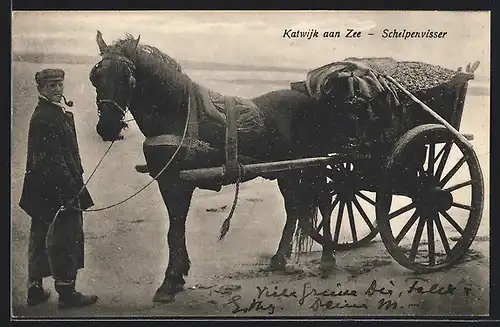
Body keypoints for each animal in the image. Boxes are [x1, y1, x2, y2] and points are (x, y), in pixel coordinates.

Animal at [90, 32, 340, 304]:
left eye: (128, 77)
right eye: (96, 76)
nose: (107, 127)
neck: (178, 114)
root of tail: (310, 100)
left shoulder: (177, 183)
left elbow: (175, 229)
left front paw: (170, 281)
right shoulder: (166, 182)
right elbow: (175, 229)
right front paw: (177, 276)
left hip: (315, 166)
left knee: (325, 202)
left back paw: (328, 257)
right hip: (288, 171)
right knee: (293, 208)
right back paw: (280, 258)